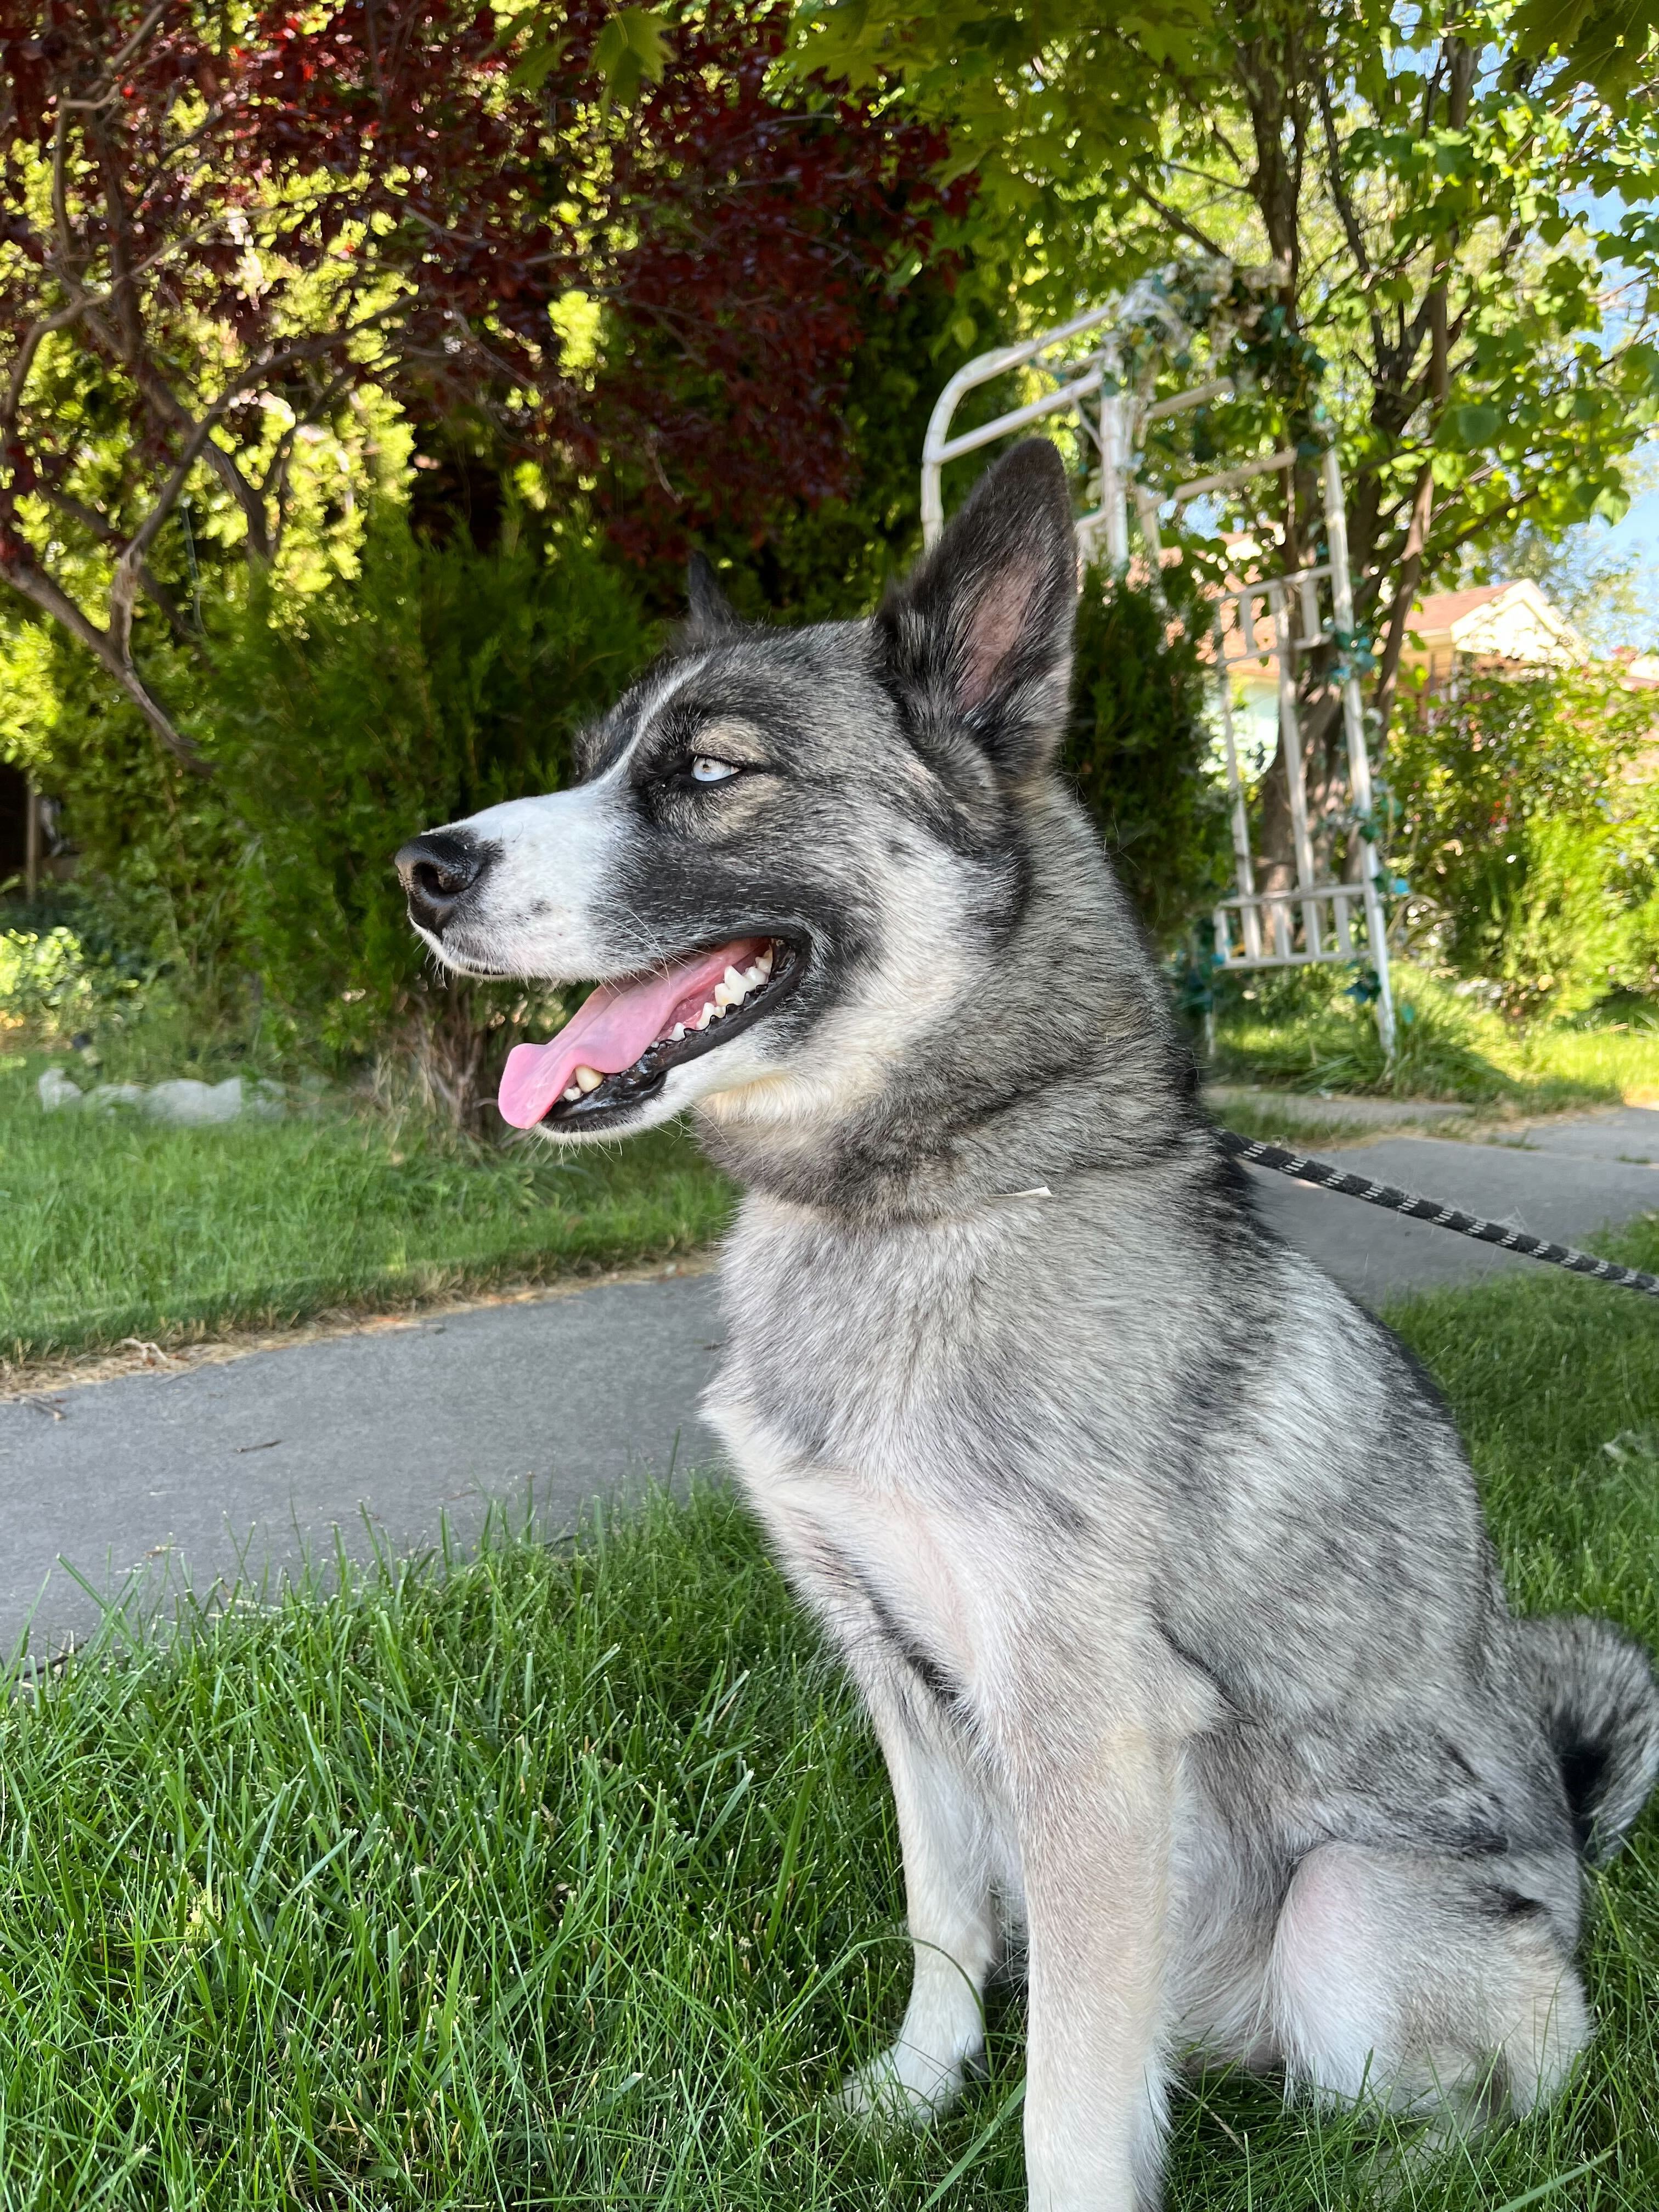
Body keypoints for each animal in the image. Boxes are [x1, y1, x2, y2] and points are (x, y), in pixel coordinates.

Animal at [402, 440, 1659, 2203]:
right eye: (594, 764)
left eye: (711, 772)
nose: (421, 870)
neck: (931, 1206)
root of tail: (1578, 1870)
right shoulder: (902, 1681)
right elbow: (947, 1929)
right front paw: (911, 2094)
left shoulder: (1085, 1732)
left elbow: (1070, 2084)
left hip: (1350, 1917)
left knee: (1449, 2108)